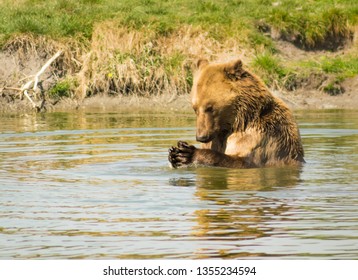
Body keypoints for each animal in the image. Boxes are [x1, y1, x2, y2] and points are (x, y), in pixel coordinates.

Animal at [169, 57, 304, 167]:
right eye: (195, 108)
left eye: (210, 107)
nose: (201, 137)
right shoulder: (216, 137)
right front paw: (174, 153)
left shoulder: (263, 136)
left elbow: (244, 160)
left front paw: (187, 153)